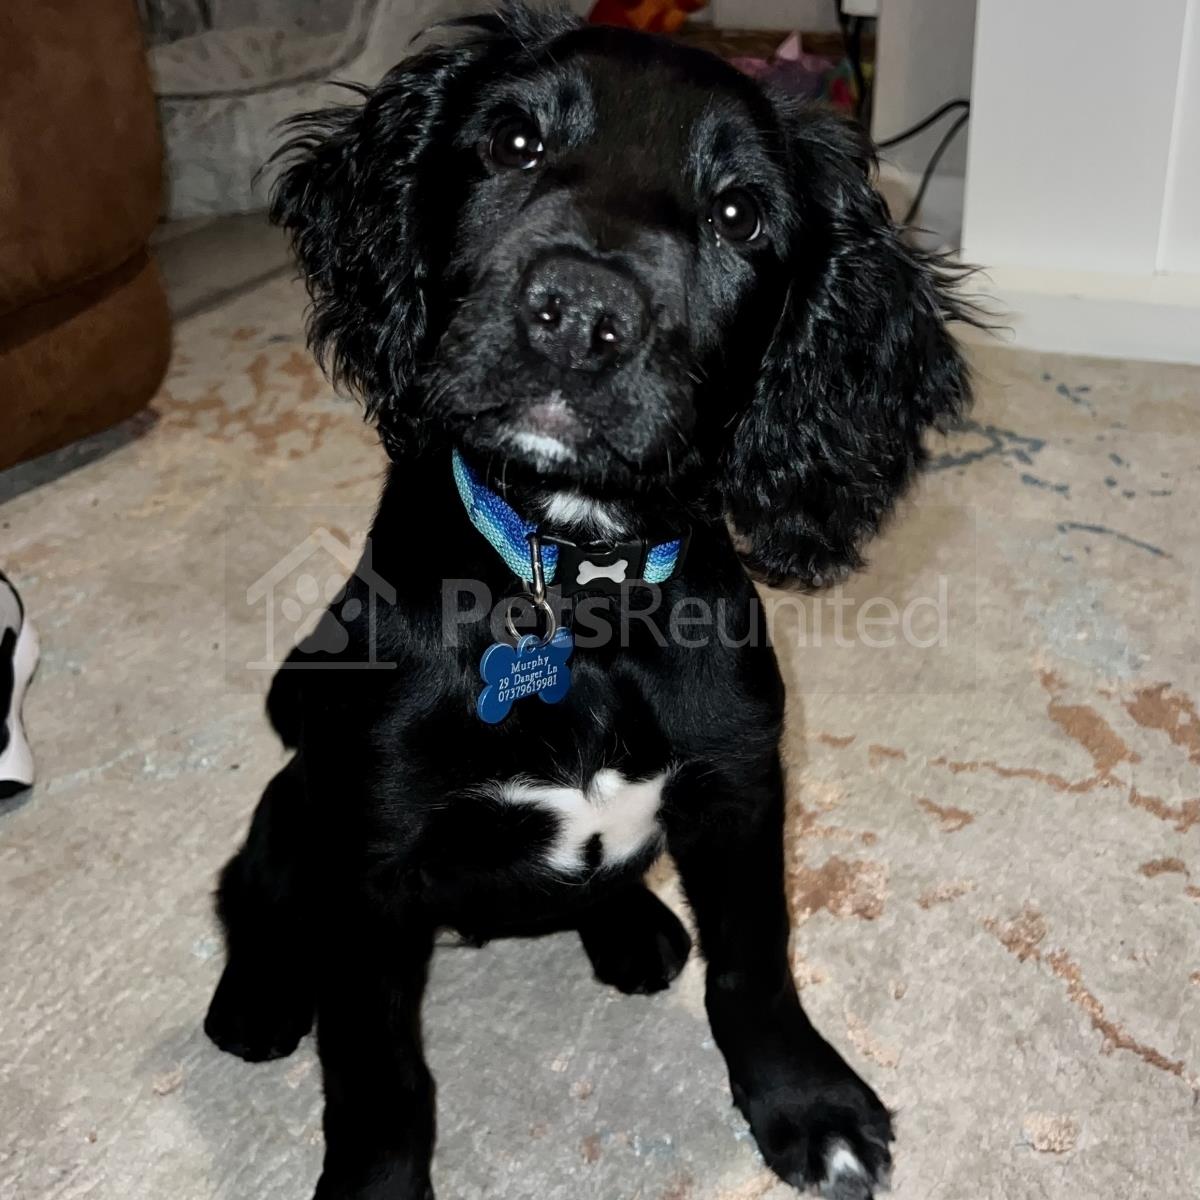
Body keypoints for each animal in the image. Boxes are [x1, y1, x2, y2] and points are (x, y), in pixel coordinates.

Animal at [203, 5, 973, 1198]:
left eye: (741, 213)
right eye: (511, 143)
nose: (577, 318)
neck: (576, 591)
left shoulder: (739, 784)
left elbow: (756, 962)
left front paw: (805, 1102)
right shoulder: (372, 852)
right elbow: (377, 1073)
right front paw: (375, 1183)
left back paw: (631, 927)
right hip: (302, 798)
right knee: (250, 889)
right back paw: (255, 999)